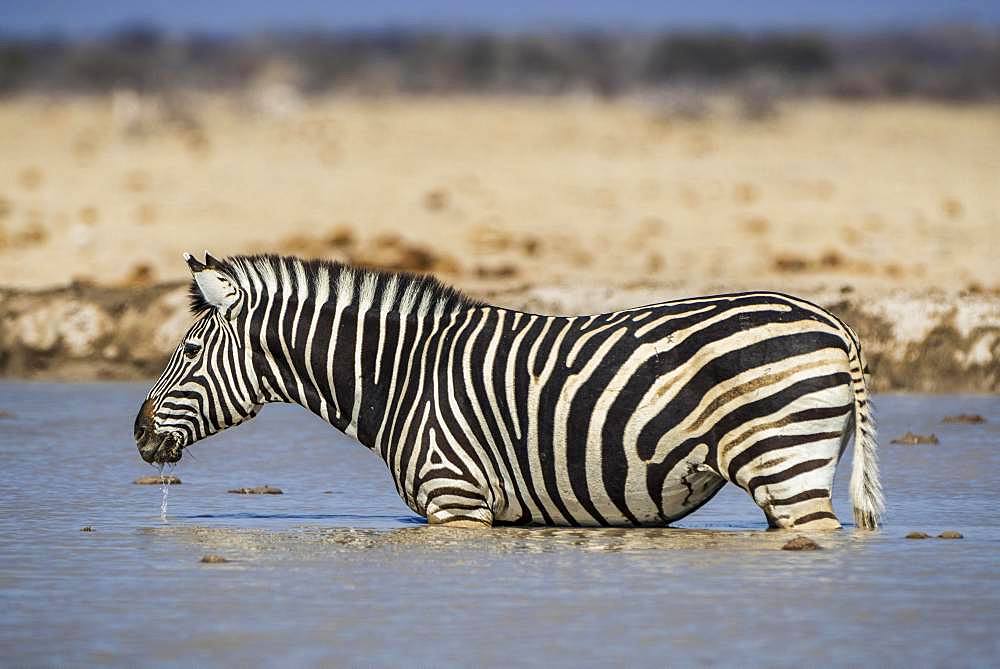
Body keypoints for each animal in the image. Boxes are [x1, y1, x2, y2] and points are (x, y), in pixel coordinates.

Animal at [133, 253, 884, 528]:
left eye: (189, 351)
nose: (137, 433)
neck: (402, 376)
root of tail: (835, 324)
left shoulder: (455, 499)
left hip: (785, 460)